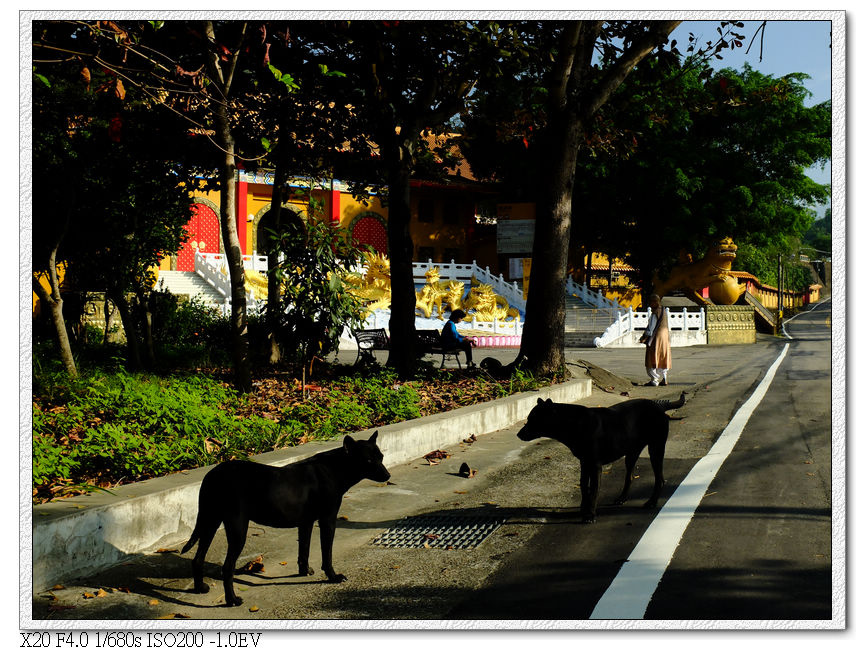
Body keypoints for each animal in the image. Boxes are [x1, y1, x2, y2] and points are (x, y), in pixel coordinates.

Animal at [184, 430, 390, 604]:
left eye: (381, 457)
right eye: (368, 460)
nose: (388, 475)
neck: (336, 468)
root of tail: (213, 474)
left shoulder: (306, 522)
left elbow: (304, 550)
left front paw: (304, 571)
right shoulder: (328, 520)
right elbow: (327, 553)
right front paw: (333, 577)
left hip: (210, 521)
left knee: (198, 558)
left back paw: (200, 588)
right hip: (236, 527)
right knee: (227, 567)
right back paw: (232, 600)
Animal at [516, 390, 684, 520]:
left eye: (532, 419)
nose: (518, 434)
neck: (573, 424)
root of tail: (659, 406)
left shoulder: (595, 464)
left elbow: (594, 489)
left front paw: (590, 514)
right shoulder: (584, 462)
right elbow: (584, 486)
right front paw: (583, 509)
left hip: (655, 448)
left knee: (659, 478)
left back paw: (652, 502)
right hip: (632, 453)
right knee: (630, 476)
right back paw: (622, 498)